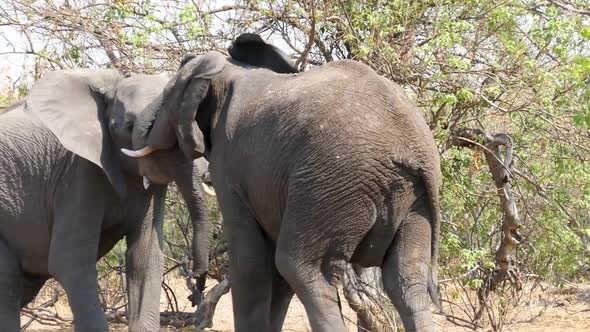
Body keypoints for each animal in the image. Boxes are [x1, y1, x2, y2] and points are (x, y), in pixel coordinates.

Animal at [0, 68, 212, 330]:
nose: (196, 279)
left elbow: (145, 257)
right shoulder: (77, 172)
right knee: (7, 282)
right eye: (128, 125)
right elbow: (69, 261)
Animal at [125, 33, 444, 332]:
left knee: (302, 268)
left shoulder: (230, 163)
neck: (228, 70)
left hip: (330, 183)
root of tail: (413, 147)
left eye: (166, 96)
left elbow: (251, 260)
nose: (193, 279)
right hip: (413, 200)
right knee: (406, 282)